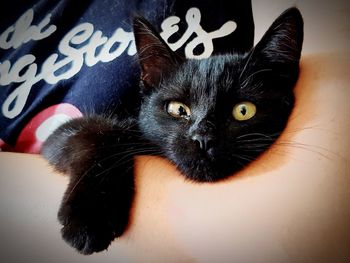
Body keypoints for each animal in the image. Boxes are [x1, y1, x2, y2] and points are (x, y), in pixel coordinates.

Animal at [41, 7, 304, 256]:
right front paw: (89, 219)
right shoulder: (58, 136)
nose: (203, 138)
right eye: (178, 109)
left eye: (243, 110)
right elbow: (97, 131)